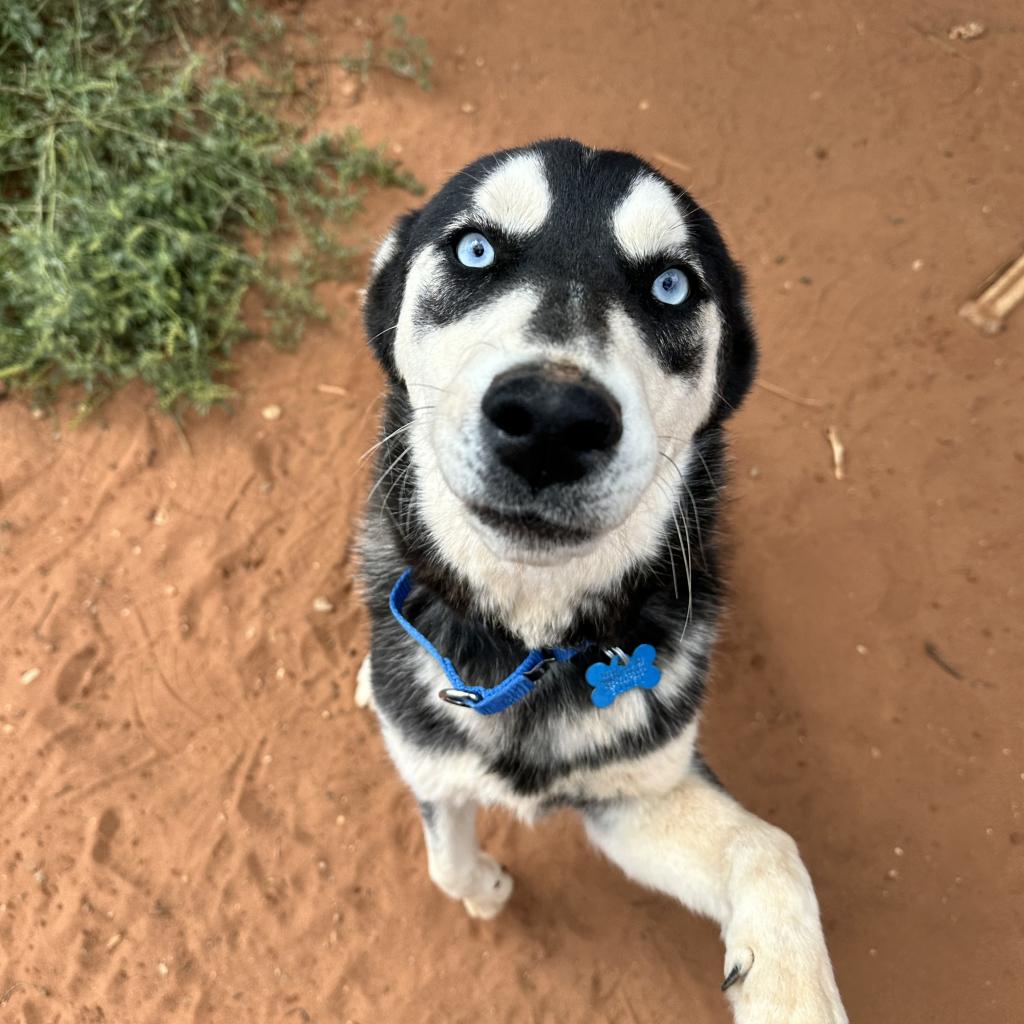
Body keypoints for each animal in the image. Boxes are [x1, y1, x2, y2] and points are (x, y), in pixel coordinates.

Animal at [356, 138, 843, 1024]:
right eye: (473, 251)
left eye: (671, 285)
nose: (551, 420)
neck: (531, 638)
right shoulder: (433, 768)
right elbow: (445, 855)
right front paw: (485, 889)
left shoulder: (634, 791)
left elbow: (772, 848)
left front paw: (794, 992)